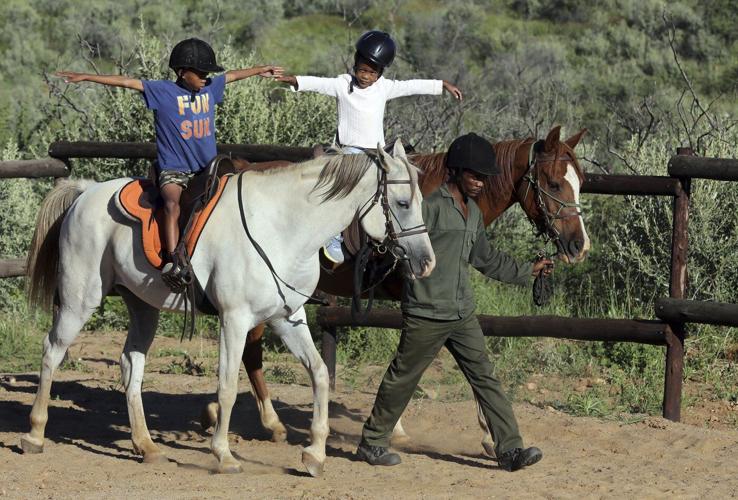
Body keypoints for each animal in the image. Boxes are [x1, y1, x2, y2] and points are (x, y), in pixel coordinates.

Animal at [20, 140, 435, 476]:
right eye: (402, 203)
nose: (427, 262)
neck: (282, 227)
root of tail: (85, 193)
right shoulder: (234, 320)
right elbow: (228, 386)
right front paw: (223, 454)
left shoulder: (288, 318)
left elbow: (318, 373)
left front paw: (315, 453)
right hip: (80, 298)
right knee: (52, 351)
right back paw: (35, 434)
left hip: (142, 306)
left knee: (131, 363)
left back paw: (146, 445)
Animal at [201, 126, 590, 456]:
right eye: (554, 183)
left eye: (581, 182)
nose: (579, 245)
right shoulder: (416, 299)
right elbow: (414, 359)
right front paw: (479, 432)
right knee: (252, 350)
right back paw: (267, 421)